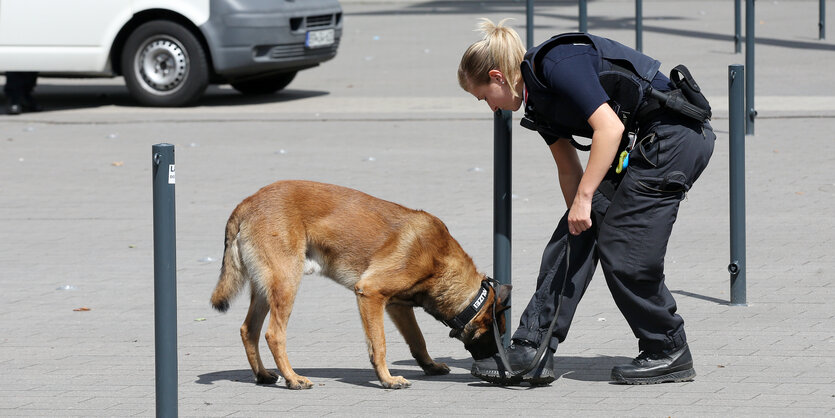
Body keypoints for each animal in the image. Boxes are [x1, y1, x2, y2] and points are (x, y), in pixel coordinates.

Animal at [209, 180, 510, 388]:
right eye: (498, 335)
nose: (503, 370)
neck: (439, 260)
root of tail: (247, 202)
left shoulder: (397, 306)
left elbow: (417, 339)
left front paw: (429, 365)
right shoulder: (370, 293)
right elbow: (380, 343)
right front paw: (387, 379)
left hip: (265, 288)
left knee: (249, 330)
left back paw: (262, 375)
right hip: (286, 283)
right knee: (273, 334)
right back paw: (293, 378)